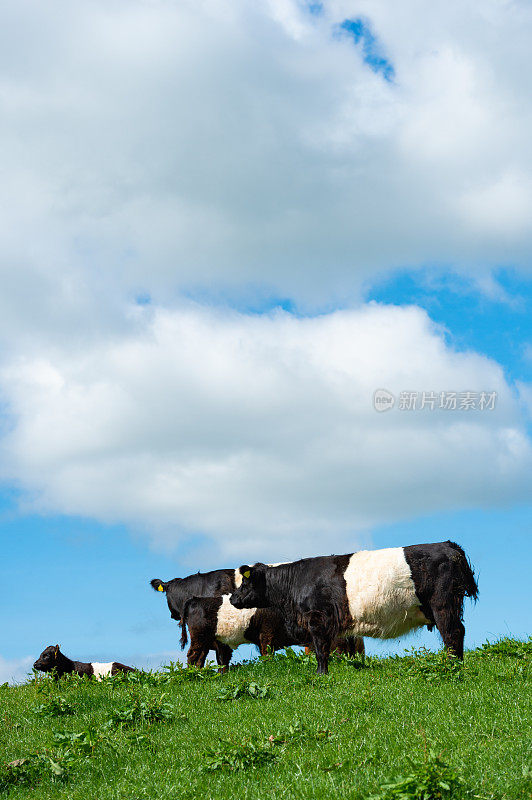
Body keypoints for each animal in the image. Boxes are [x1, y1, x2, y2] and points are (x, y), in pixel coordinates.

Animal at [231, 540, 480, 672]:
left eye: (245, 581)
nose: (233, 599)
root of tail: (447, 545)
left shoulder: (317, 618)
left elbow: (321, 650)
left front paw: (321, 674)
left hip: (443, 604)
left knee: (453, 633)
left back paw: (453, 666)